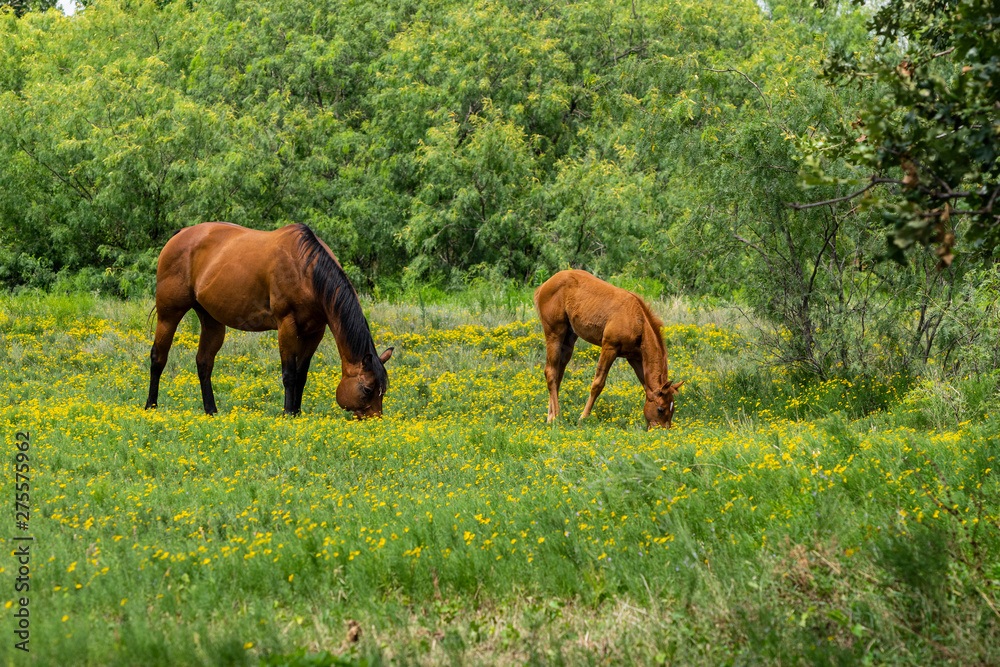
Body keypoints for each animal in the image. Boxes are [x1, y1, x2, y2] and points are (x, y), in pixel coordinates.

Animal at [146, 223, 394, 418]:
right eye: (367, 390)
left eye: (383, 390)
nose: (375, 421)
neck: (307, 271)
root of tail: (181, 234)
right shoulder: (286, 325)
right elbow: (289, 373)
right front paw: (287, 413)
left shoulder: (314, 331)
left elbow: (302, 374)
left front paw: (297, 412)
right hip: (169, 315)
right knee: (158, 357)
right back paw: (151, 406)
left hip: (212, 321)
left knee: (204, 362)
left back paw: (211, 411)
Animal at [536, 270, 684, 430]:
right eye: (660, 409)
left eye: (672, 409)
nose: (662, 431)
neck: (637, 320)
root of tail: (545, 285)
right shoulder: (609, 348)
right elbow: (598, 384)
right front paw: (583, 418)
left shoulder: (635, 358)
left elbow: (645, 385)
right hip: (554, 334)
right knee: (551, 372)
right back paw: (557, 418)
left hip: (568, 340)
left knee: (558, 374)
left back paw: (550, 418)